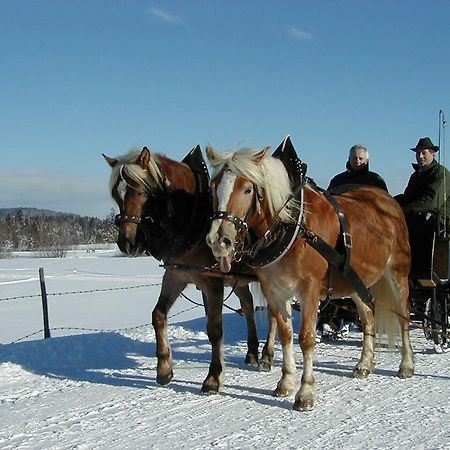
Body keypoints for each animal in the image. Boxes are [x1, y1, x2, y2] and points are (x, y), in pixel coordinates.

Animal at [103, 146, 278, 392]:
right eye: (116, 195)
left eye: (141, 191)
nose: (127, 243)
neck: (193, 218)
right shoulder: (176, 275)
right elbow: (158, 315)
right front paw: (164, 368)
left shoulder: (213, 281)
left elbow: (214, 328)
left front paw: (213, 377)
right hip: (239, 279)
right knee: (248, 306)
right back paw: (252, 352)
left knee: (274, 314)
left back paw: (267, 356)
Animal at [205, 142, 414, 412]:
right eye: (213, 186)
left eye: (247, 189)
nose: (218, 240)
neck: (293, 227)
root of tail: (388, 201)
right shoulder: (276, 290)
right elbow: (285, 335)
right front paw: (285, 382)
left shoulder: (310, 291)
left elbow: (306, 338)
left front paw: (305, 392)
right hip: (355, 280)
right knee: (368, 316)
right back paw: (365, 363)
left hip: (397, 273)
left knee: (403, 316)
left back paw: (406, 364)